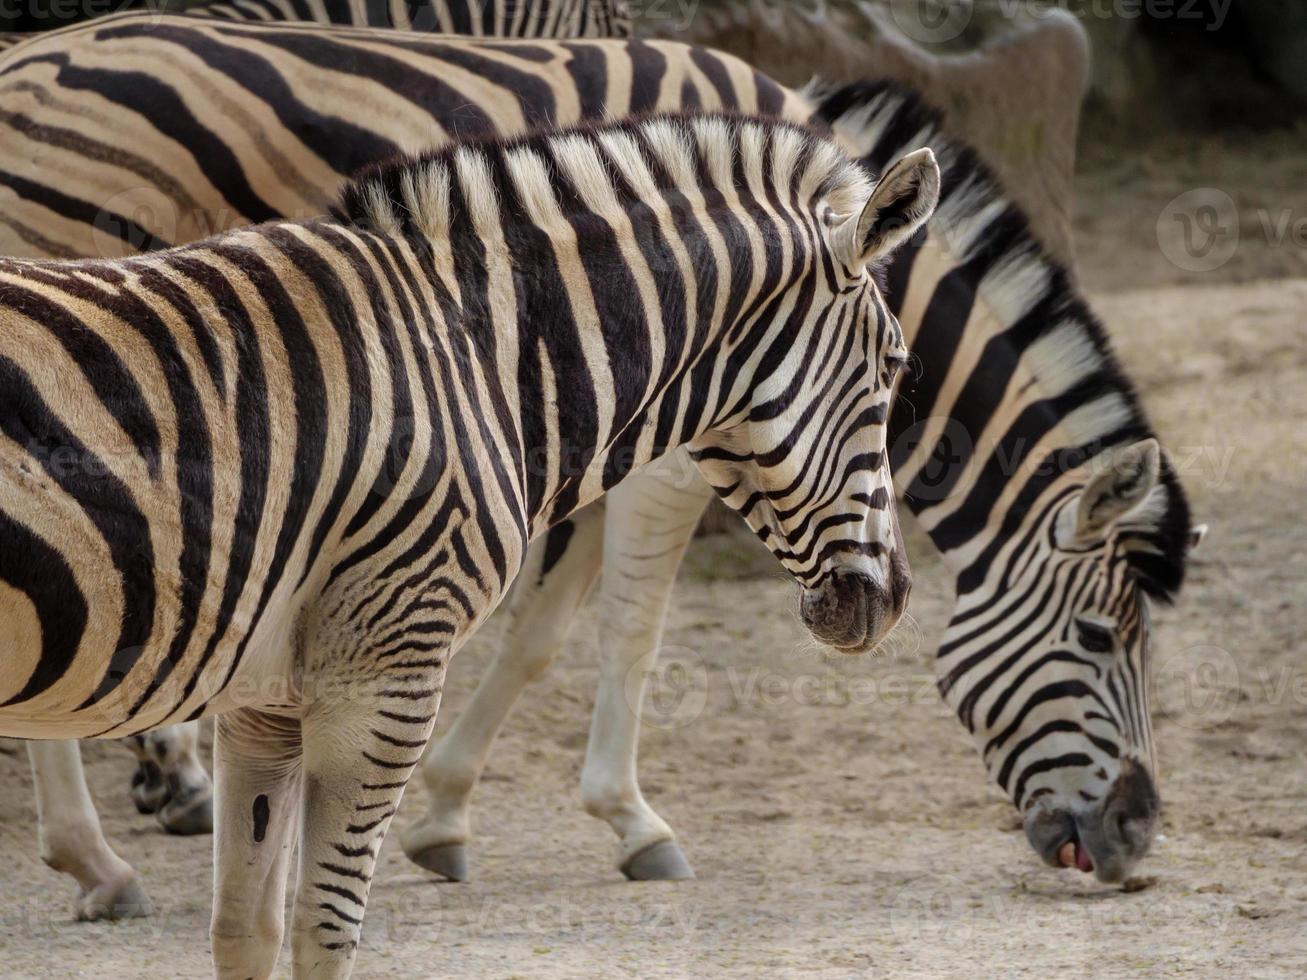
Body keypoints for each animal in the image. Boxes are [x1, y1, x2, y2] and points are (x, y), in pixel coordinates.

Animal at [2, 111, 941, 977]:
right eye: (895, 367)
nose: (892, 599)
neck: (472, 352)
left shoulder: (262, 699)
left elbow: (245, 930)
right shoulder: (383, 673)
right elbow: (323, 930)